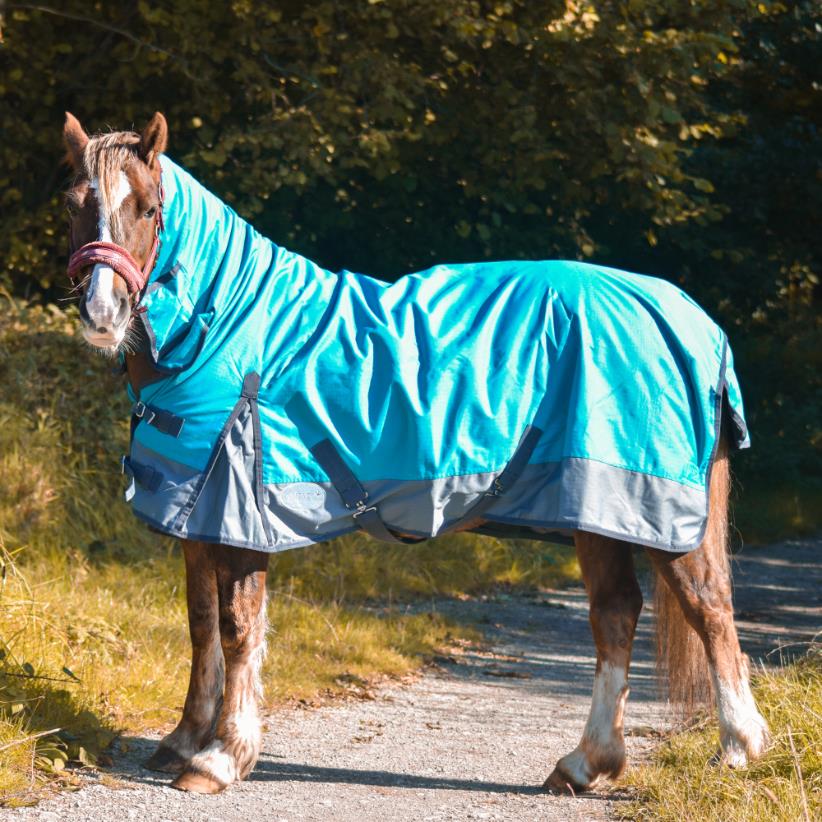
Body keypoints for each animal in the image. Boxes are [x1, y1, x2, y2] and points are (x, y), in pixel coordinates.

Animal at [61, 111, 769, 795]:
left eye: (147, 206)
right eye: (74, 202)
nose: (102, 311)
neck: (229, 326)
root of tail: (691, 319)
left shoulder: (237, 514)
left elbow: (238, 629)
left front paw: (221, 757)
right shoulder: (196, 515)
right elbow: (202, 623)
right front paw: (184, 740)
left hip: (653, 512)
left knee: (708, 607)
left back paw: (737, 749)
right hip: (596, 513)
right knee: (616, 614)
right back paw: (585, 764)